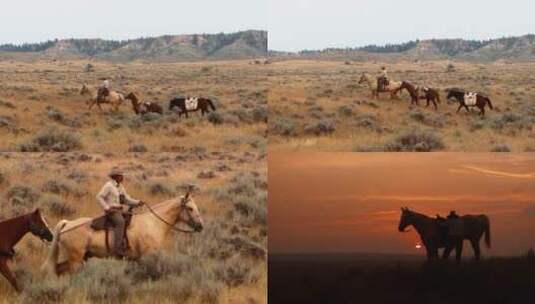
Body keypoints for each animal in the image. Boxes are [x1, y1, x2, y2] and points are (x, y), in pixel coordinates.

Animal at [42, 195, 203, 276]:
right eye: (190, 208)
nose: (200, 226)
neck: (153, 222)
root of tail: (67, 224)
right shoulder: (147, 256)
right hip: (76, 259)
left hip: (79, 257)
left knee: (58, 269)